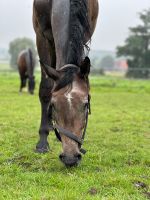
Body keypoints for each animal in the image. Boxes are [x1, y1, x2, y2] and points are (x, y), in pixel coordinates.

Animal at [32, 0, 98, 166]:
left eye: (86, 105)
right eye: (53, 105)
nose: (70, 158)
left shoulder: (85, 35)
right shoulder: (41, 36)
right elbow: (46, 88)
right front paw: (42, 142)